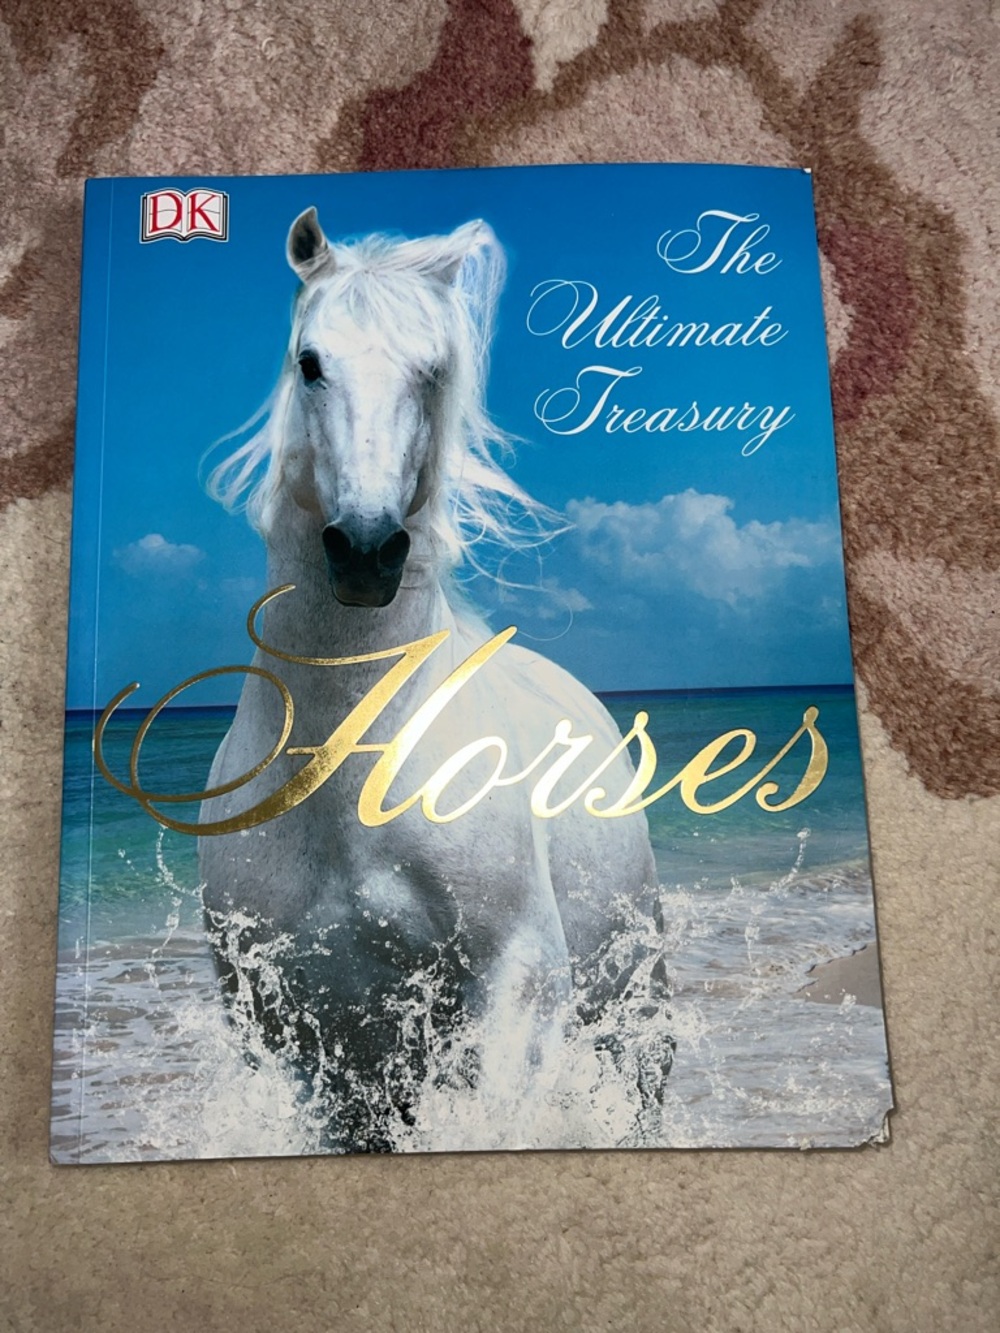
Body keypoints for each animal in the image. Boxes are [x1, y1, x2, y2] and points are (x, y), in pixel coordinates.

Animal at [199, 208, 663, 1150]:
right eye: (310, 361)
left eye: (433, 371)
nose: (367, 549)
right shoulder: (299, 1039)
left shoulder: (518, 982)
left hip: (633, 1021)